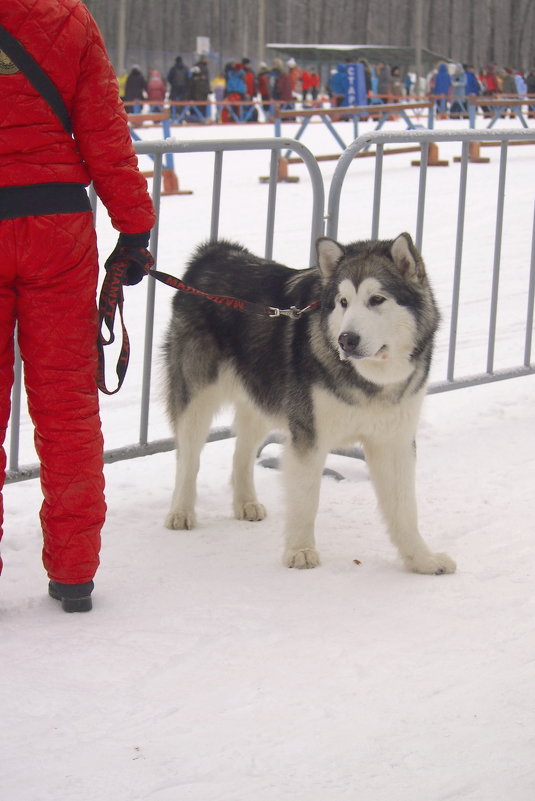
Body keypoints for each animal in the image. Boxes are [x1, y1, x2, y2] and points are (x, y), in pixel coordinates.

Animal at [163, 233, 456, 576]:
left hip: (263, 396)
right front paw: (300, 551)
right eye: (343, 302)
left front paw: (422, 560)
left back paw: (245, 503)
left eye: (377, 299)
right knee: (188, 457)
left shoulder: (394, 440)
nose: (346, 340)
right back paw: (181, 510)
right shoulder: (308, 436)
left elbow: (405, 509)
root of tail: (215, 252)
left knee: (242, 453)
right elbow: (306, 500)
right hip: (197, 398)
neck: (369, 379)